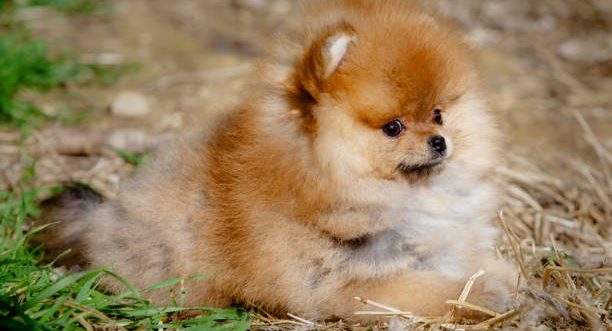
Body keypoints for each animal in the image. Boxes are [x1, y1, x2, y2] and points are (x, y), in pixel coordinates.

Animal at [39, 0, 516, 322]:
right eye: (393, 127)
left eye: (438, 114)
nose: (439, 142)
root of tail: (104, 217)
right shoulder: (347, 283)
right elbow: (433, 291)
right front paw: (487, 296)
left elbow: (474, 258)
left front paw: (509, 279)